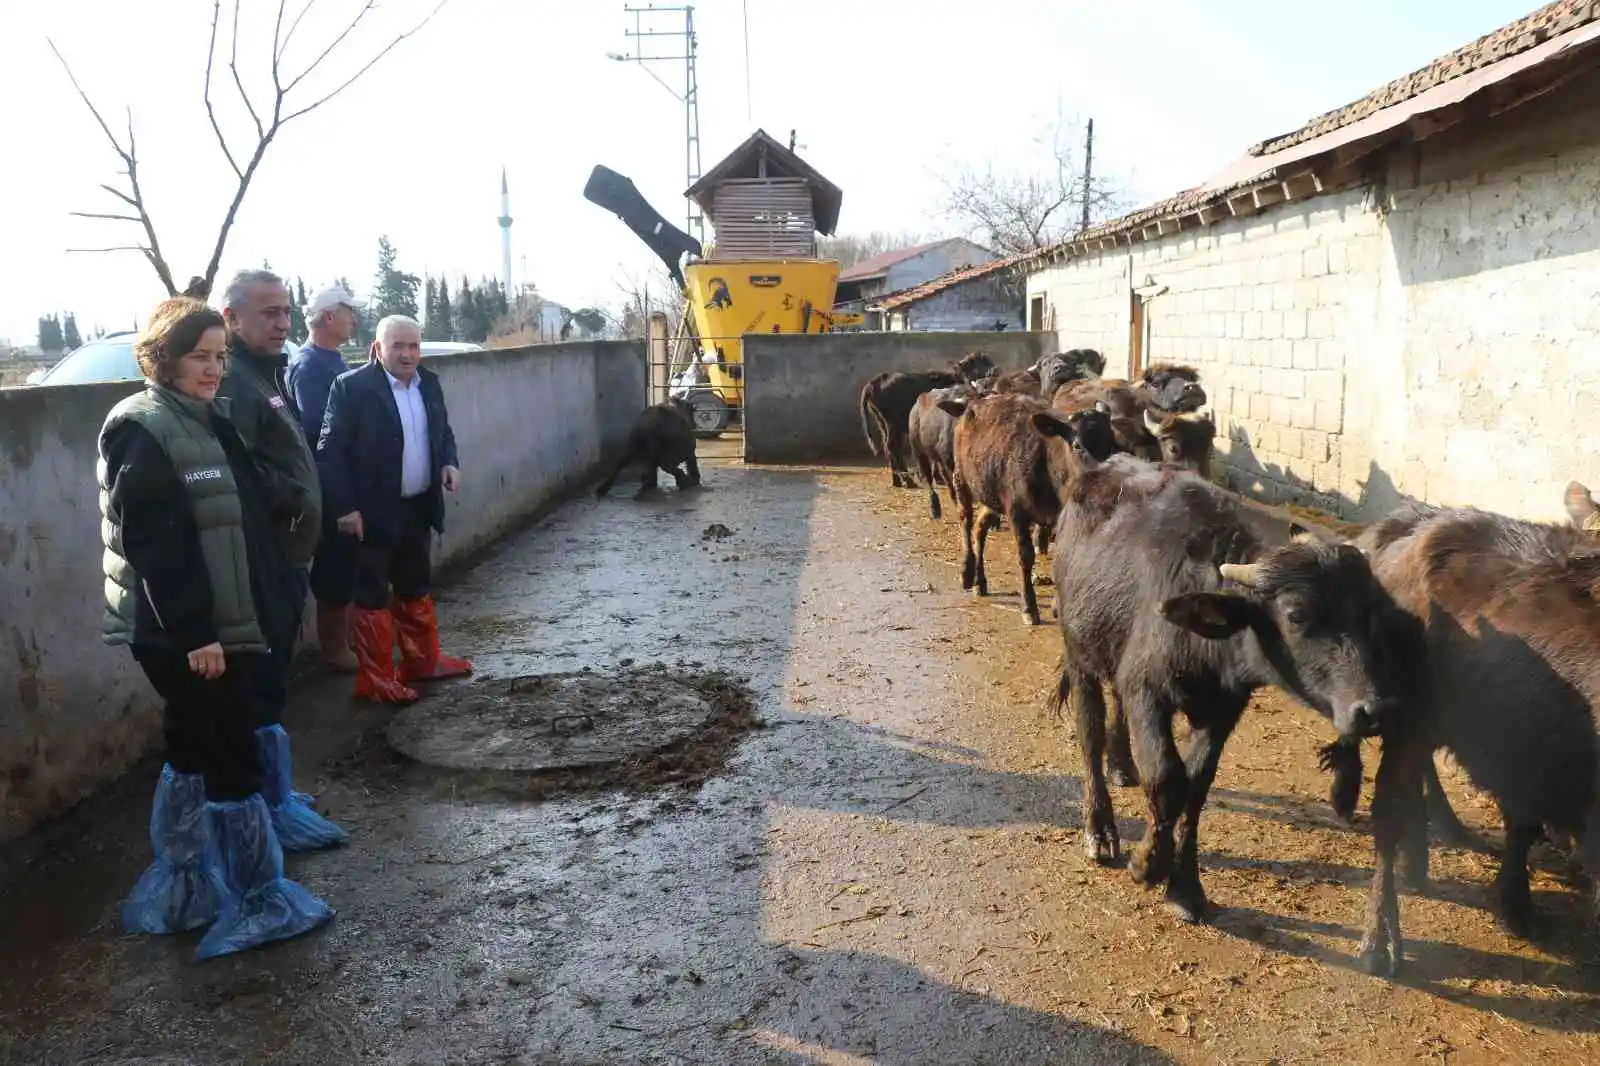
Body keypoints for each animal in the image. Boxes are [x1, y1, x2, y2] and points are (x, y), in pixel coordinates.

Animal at [857, 350, 992, 486]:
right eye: (973, 367)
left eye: (988, 362)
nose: (991, 374)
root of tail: (875, 382)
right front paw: (936, 477)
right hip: (893, 424)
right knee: (892, 447)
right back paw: (908, 480)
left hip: (882, 422)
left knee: (888, 447)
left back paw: (897, 480)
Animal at [934, 390, 1113, 624]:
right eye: (1077, 446)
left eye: (1114, 444)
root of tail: (973, 403)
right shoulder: (1016, 513)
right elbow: (1025, 556)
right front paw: (1029, 607)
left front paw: (1056, 605)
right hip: (961, 480)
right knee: (966, 522)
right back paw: (967, 572)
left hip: (991, 497)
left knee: (980, 529)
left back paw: (980, 582)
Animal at [1049, 451, 1414, 928]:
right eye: (1296, 615)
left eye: (1371, 613)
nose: (1374, 709)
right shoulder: (1146, 690)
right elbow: (1166, 779)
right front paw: (1148, 864)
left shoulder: (1224, 711)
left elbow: (1197, 788)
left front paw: (1186, 888)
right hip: (1078, 654)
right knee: (1088, 732)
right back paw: (1100, 829)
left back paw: (1121, 765)